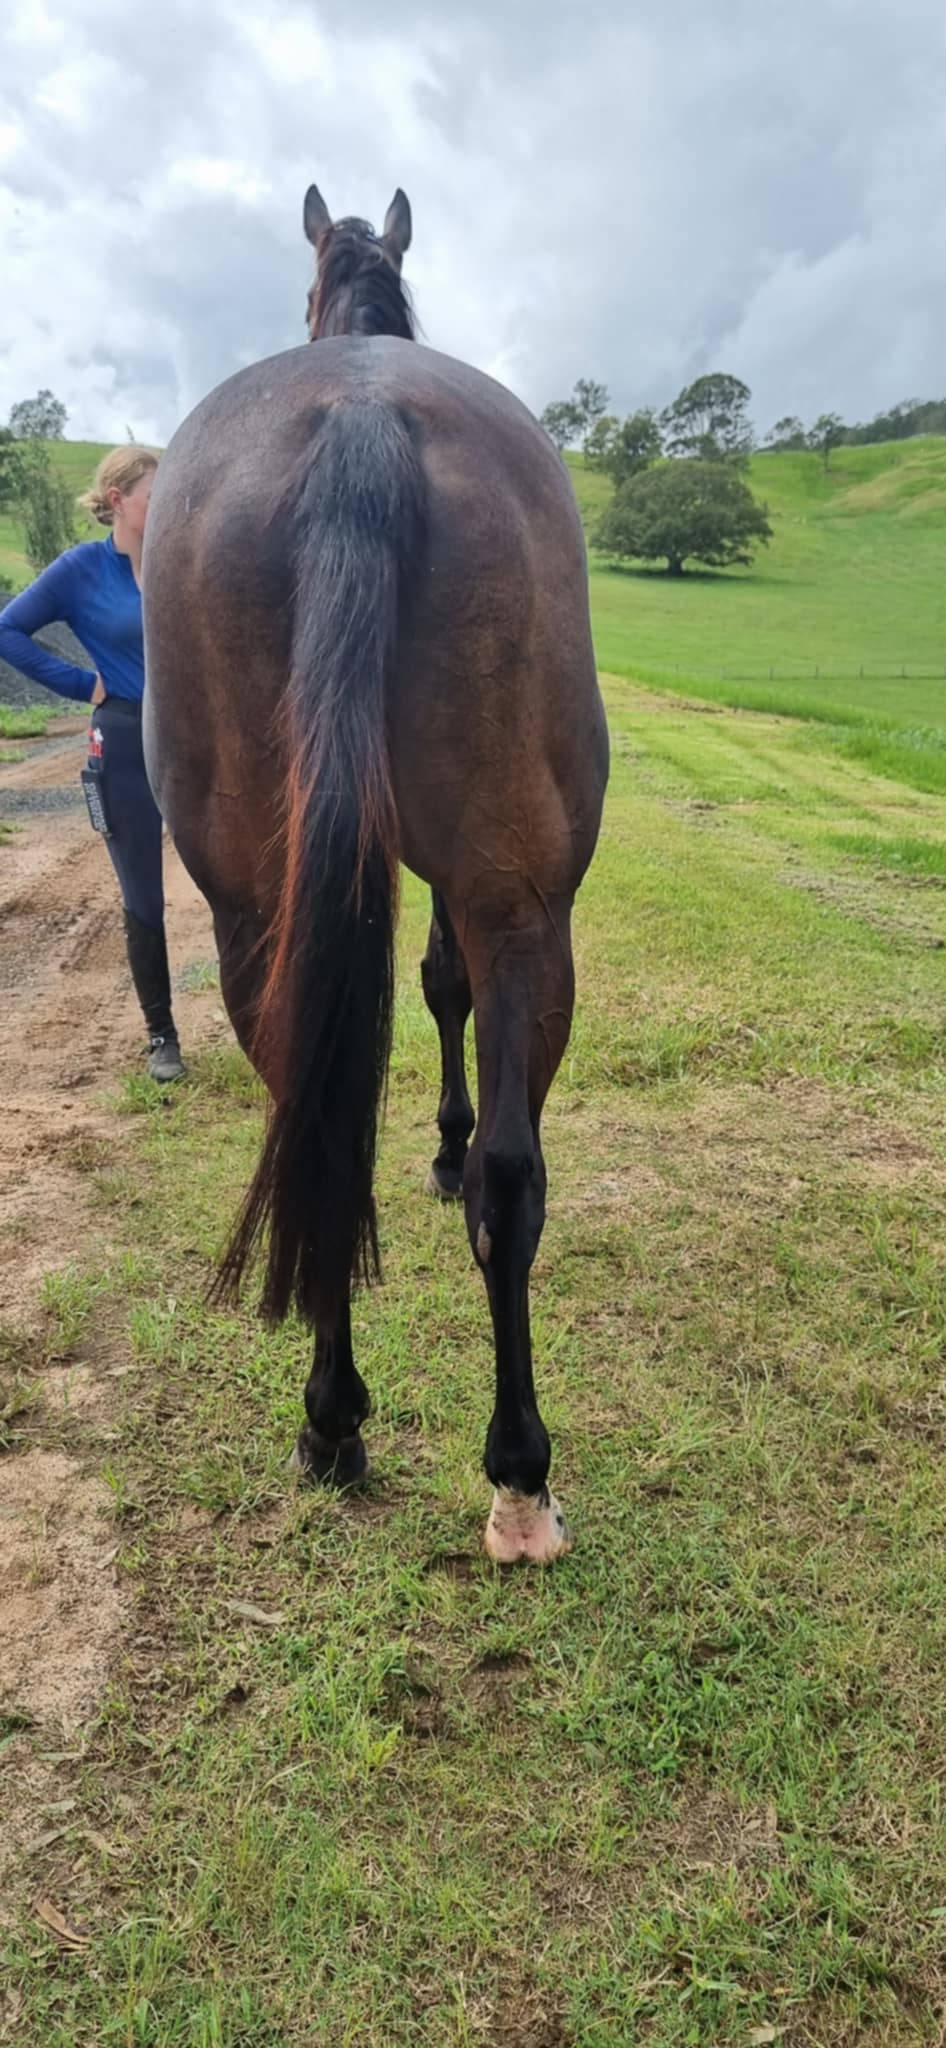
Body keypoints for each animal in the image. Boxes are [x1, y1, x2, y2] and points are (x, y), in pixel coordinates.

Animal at [142, 185, 608, 1563]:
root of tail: (358, 416)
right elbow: (444, 988)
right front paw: (444, 1149)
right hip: (517, 902)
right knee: (494, 1164)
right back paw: (483, 1463)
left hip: (278, 906)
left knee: (349, 1129)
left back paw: (367, 1428)